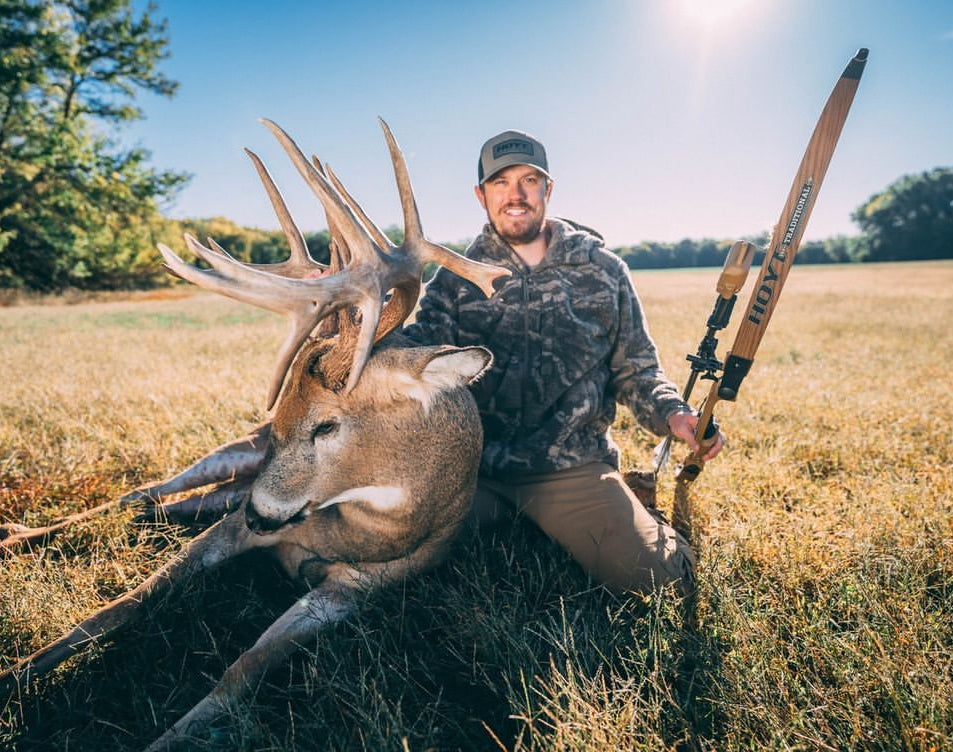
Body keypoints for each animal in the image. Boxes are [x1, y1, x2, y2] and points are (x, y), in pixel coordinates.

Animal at [0, 118, 510, 750]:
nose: (262, 513)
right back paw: (14, 534)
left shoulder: (355, 590)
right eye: (282, 414)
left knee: (159, 509)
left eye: (327, 424)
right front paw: (14, 676)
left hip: (226, 494)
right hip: (229, 459)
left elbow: (243, 669)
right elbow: (121, 606)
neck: (362, 526)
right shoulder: (236, 522)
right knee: (138, 495)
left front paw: (167, 738)